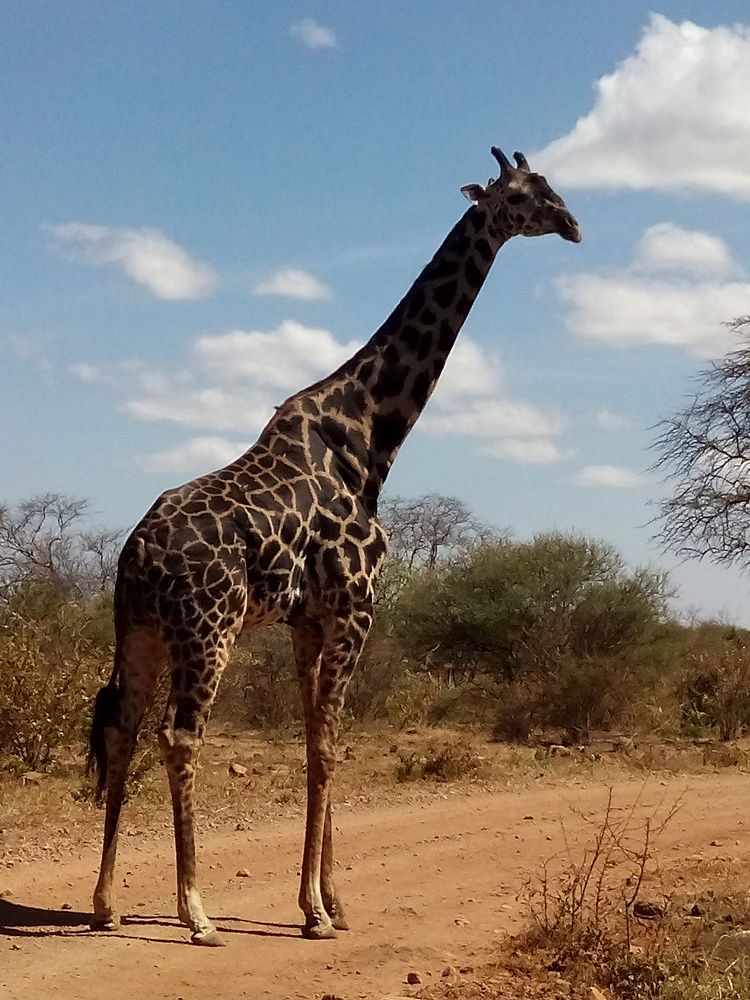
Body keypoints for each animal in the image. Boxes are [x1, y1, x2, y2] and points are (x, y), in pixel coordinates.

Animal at [88, 146, 581, 946]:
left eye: (548, 188)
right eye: (523, 196)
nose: (573, 223)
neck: (372, 436)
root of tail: (136, 556)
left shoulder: (308, 621)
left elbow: (316, 741)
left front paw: (329, 902)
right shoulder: (355, 608)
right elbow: (329, 742)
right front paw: (317, 911)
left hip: (140, 632)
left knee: (125, 732)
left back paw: (105, 905)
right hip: (207, 629)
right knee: (179, 738)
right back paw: (196, 913)